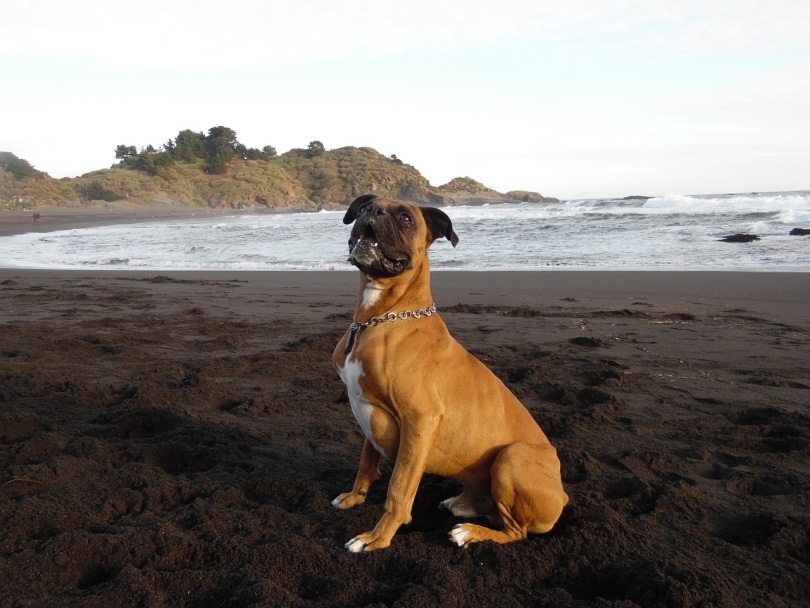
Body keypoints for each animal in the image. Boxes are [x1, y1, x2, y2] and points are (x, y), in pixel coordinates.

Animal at [332, 194, 564, 552]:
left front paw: (376, 538)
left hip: (512, 456)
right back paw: (461, 504)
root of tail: (563, 496)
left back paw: (468, 532)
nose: (373, 210)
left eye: (405, 218)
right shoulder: (368, 410)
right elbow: (366, 462)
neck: (380, 317)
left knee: (516, 531)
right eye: (366, 206)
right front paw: (354, 497)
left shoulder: (420, 420)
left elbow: (398, 490)